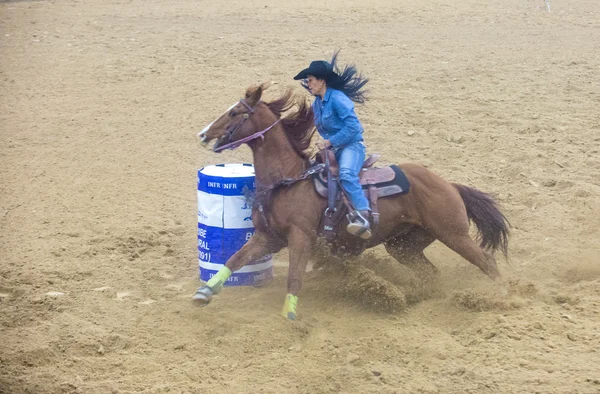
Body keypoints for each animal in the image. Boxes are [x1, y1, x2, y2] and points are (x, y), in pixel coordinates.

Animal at [195, 84, 508, 320]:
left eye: (234, 112)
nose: (203, 134)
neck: (288, 180)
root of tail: (449, 184)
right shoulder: (267, 237)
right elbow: (235, 259)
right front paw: (205, 292)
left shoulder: (301, 237)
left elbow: (294, 277)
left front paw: (290, 314)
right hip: (404, 246)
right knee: (431, 273)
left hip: (453, 233)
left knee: (487, 263)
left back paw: (501, 296)